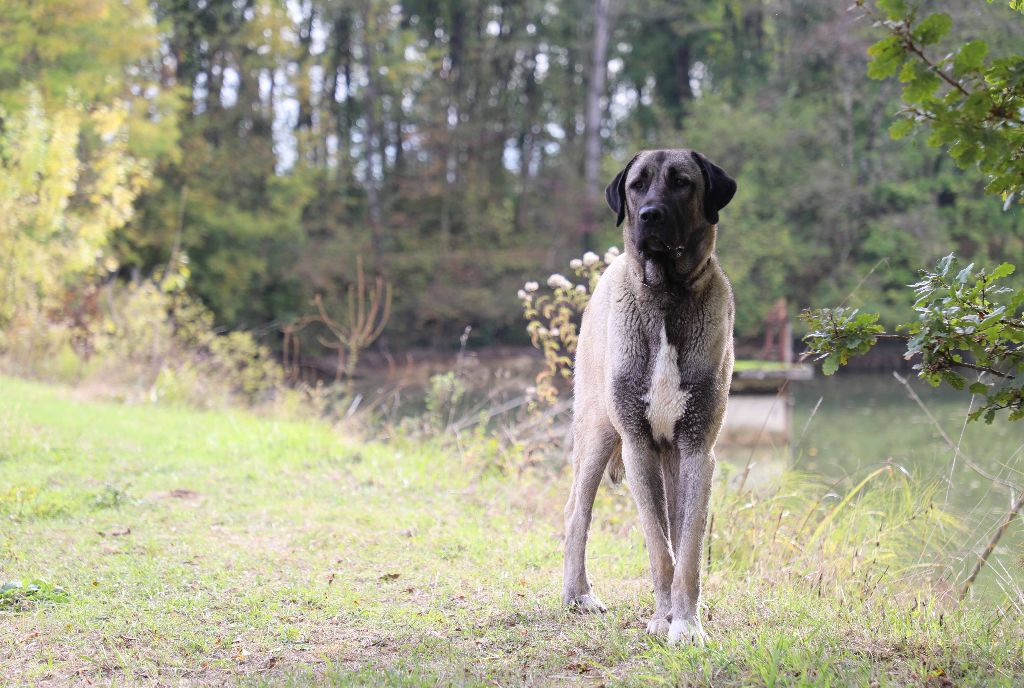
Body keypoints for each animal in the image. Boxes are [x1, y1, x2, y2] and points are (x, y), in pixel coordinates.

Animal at [561, 149, 737, 647]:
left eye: (681, 182)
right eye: (636, 185)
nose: (650, 215)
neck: (666, 297)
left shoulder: (696, 449)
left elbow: (687, 551)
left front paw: (686, 623)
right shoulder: (638, 447)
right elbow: (661, 550)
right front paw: (663, 619)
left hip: (669, 457)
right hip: (597, 434)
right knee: (576, 514)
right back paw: (578, 595)